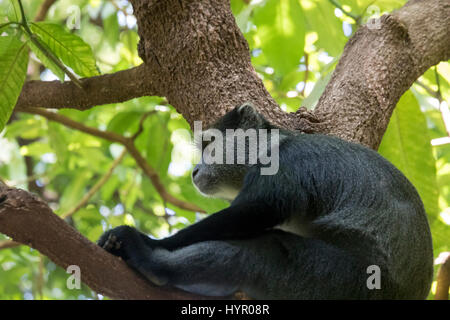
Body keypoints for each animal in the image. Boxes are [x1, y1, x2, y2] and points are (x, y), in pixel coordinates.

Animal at [97, 103, 432, 300]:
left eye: (210, 144)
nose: (195, 171)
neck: (271, 144)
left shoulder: (284, 162)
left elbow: (258, 211)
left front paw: (148, 242)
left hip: (346, 280)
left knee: (260, 253)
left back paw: (151, 263)